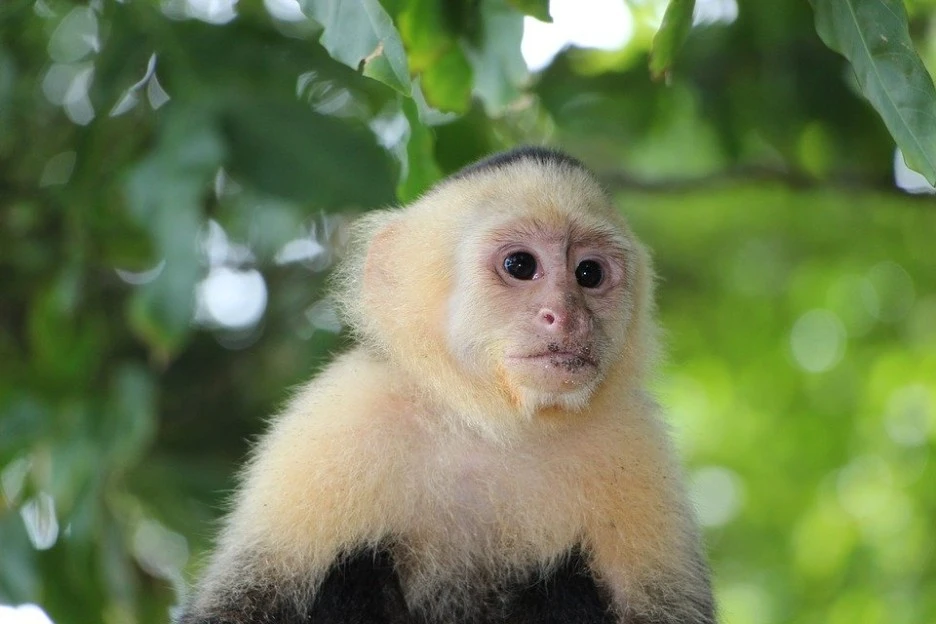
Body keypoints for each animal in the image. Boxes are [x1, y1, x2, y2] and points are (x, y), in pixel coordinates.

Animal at [177, 147, 716, 624]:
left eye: (589, 273)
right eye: (520, 265)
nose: (566, 316)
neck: (492, 427)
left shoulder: (635, 441)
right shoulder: (340, 417)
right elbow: (240, 606)